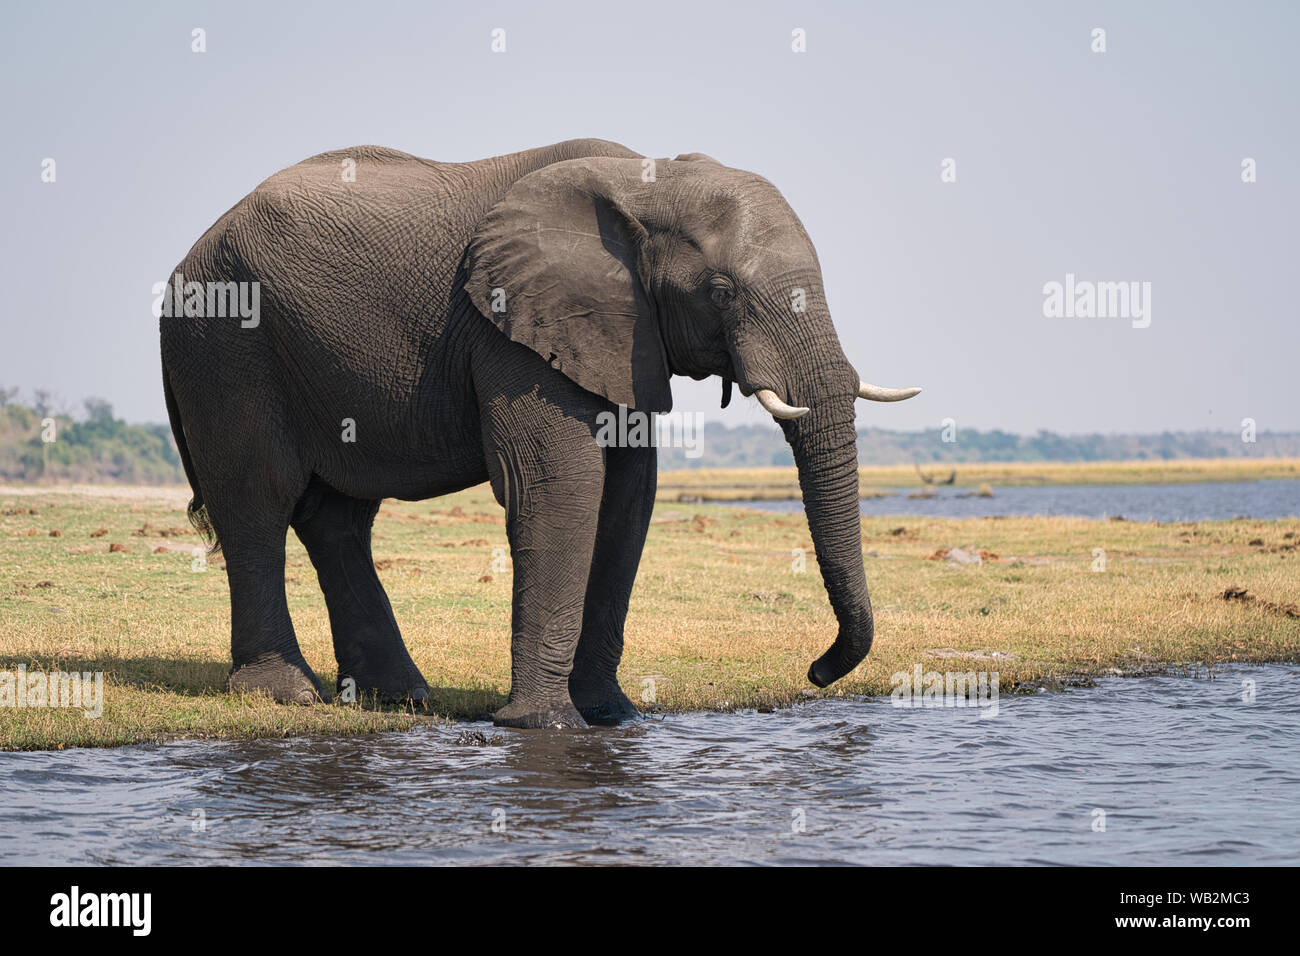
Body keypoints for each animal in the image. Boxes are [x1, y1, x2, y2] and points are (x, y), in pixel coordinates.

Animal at [159, 138, 920, 729]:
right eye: (722, 291)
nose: (816, 671)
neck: (647, 177)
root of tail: (183, 261)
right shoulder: (513, 329)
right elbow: (560, 483)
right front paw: (545, 724)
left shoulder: (621, 336)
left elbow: (628, 498)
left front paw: (613, 715)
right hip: (225, 341)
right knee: (258, 499)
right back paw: (286, 696)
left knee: (339, 517)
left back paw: (397, 698)